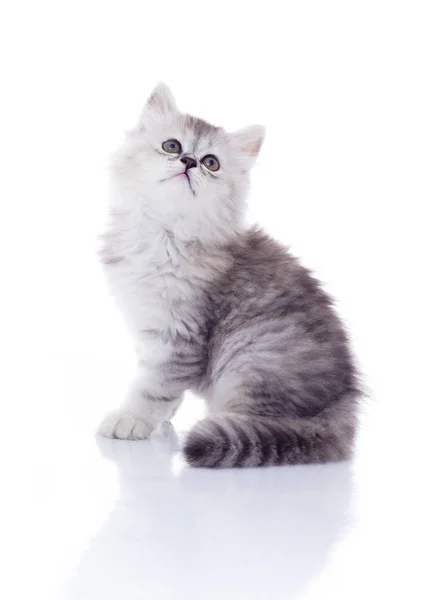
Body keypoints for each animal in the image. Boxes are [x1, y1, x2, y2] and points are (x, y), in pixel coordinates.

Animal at [98, 83, 360, 468]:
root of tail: (343, 401)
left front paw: (131, 418)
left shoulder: (178, 335)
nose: (189, 162)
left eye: (211, 162)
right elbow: (162, 385)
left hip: (250, 358)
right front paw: (161, 419)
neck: (164, 233)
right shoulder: (150, 329)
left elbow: (154, 386)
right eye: (172, 146)